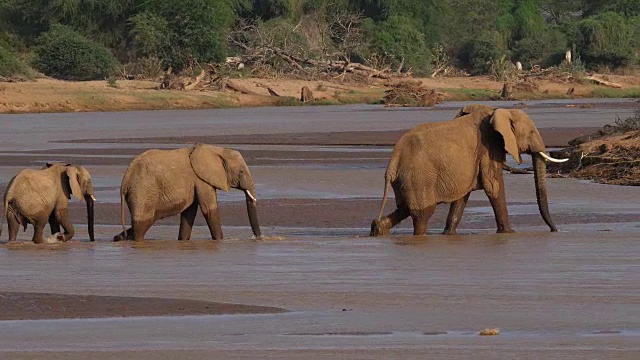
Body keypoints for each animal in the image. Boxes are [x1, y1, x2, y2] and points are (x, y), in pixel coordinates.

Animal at [112, 143, 260, 242]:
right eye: (241, 172)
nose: (257, 237)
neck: (216, 150)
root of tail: (125, 180)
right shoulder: (201, 180)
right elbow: (209, 210)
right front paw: (220, 241)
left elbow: (189, 212)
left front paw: (183, 241)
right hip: (143, 191)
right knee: (142, 223)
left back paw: (118, 238)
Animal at [372, 107, 568, 236]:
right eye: (532, 132)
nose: (555, 230)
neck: (499, 112)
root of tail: (393, 159)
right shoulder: (488, 148)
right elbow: (493, 186)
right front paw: (509, 233)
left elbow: (462, 196)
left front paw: (449, 234)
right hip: (418, 178)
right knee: (422, 214)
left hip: (405, 180)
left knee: (404, 208)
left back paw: (377, 229)